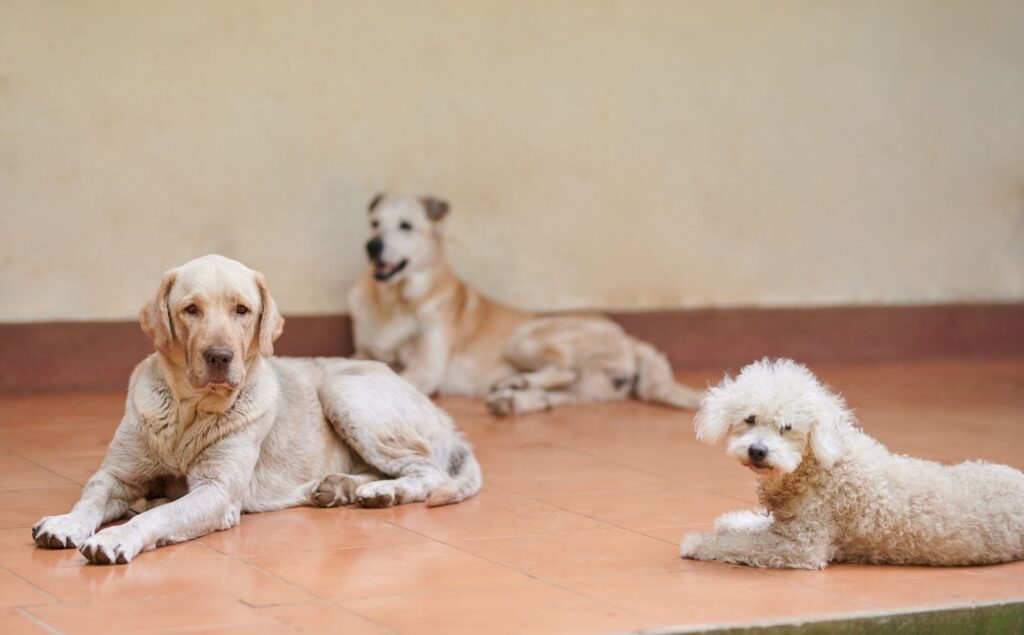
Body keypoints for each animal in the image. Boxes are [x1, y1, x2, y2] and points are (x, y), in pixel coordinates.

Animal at [32, 255, 479, 561]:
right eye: (191, 309)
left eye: (242, 310)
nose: (219, 356)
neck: (188, 413)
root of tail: (446, 419)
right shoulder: (116, 475)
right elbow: (89, 500)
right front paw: (67, 523)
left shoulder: (216, 491)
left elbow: (152, 517)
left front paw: (116, 536)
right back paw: (339, 487)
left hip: (342, 391)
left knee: (427, 471)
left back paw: (383, 491)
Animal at [348, 195, 700, 419]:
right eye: (374, 223)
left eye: (405, 226)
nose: (371, 246)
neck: (392, 302)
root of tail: (631, 340)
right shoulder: (363, 352)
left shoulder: (427, 368)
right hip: (587, 388)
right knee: (554, 396)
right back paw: (515, 398)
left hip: (524, 337)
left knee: (564, 369)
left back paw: (517, 385)